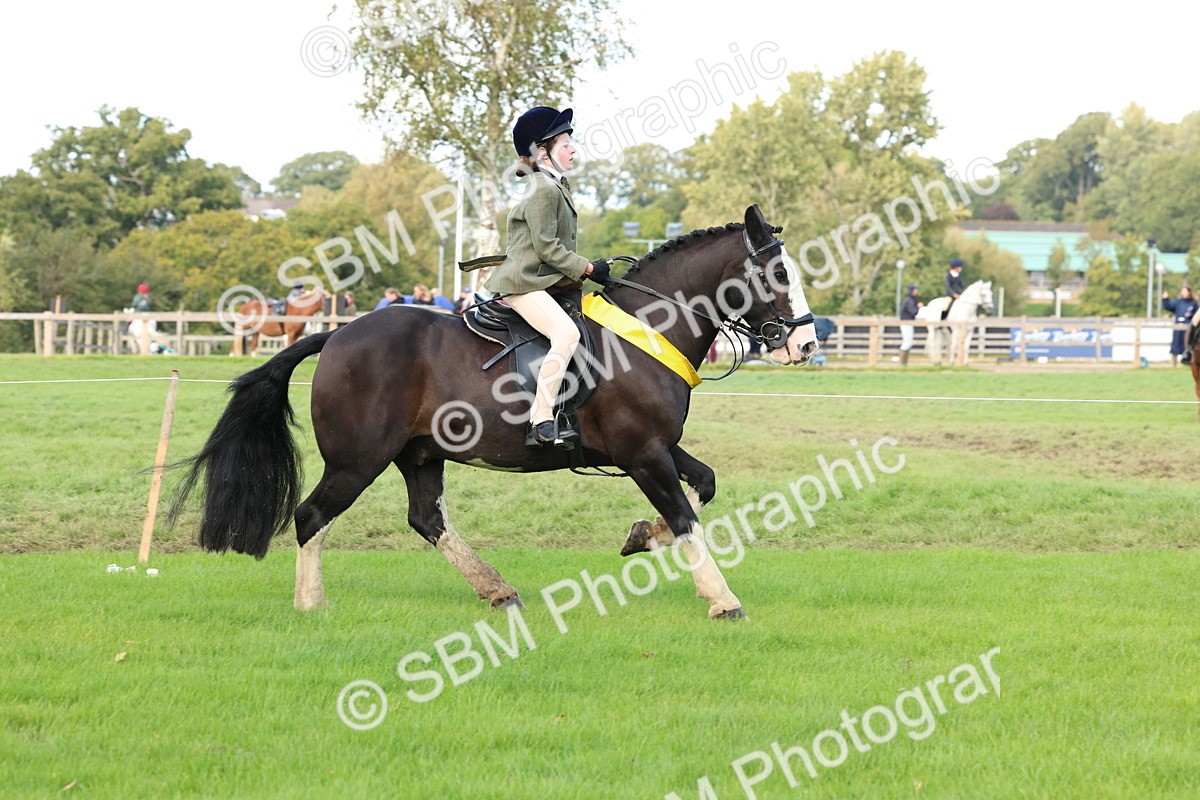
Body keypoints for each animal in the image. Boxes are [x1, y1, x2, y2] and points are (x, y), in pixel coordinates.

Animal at [168, 205, 819, 620]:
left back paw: (498, 592)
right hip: (357, 461)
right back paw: (312, 606)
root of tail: (338, 334)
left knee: (427, 519)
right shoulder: (642, 453)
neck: (646, 328)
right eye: (778, 273)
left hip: (420, 455)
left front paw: (641, 535)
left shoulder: (655, 445)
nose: (807, 344)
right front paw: (722, 599)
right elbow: (685, 516)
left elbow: (703, 485)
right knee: (311, 517)